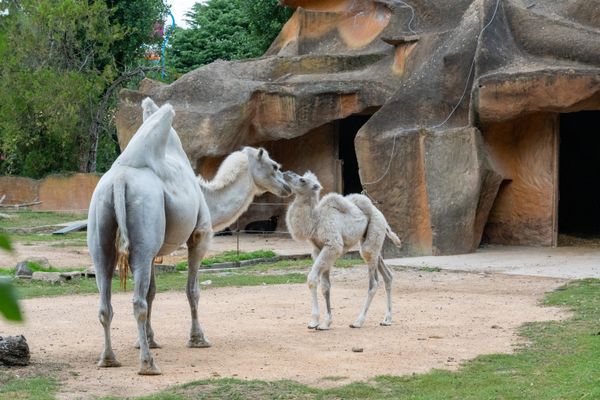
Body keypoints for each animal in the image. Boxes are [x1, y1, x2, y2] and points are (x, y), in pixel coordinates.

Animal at [88, 97, 290, 376]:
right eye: (274, 166)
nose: (287, 186)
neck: (207, 196)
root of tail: (119, 181)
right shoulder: (200, 235)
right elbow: (192, 290)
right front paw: (198, 339)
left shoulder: (155, 252)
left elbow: (153, 292)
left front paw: (148, 339)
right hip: (143, 229)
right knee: (137, 302)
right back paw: (148, 364)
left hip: (101, 228)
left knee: (104, 300)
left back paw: (108, 359)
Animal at [284, 172, 400, 332]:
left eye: (302, 180)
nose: (286, 174)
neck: (316, 221)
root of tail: (383, 218)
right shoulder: (318, 249)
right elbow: (325, 286)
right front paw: (325, 323)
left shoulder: (333, 246)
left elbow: (312, 279)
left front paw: (314, 321)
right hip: (373, 243)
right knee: (387, 275)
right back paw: (387, 319)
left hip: (372, 238)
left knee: (373, 283)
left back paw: (358, 321)